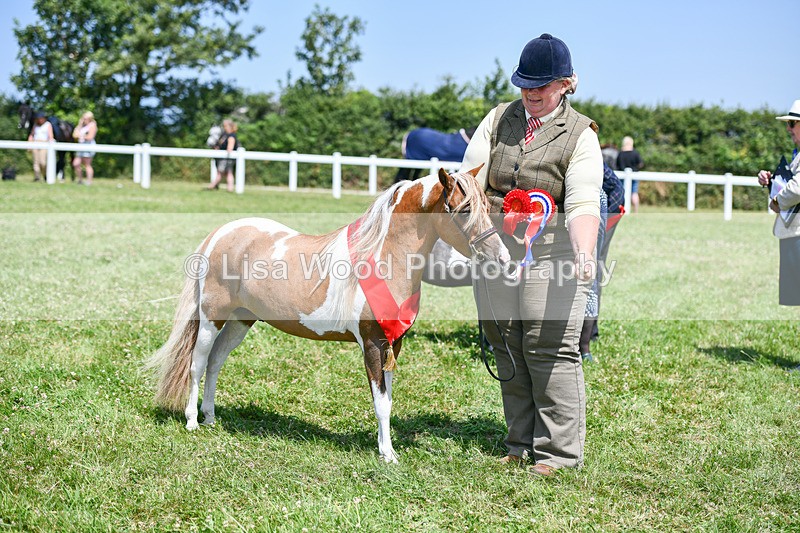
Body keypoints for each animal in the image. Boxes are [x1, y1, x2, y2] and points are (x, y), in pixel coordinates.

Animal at [146, 167, 510, 463]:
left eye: (488, 207)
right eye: (464, 210)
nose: (503, 259)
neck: (385, 258)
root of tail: (222, 232)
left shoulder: (394, 344)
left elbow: (388, 399)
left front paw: (386, 447)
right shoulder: (372, 344)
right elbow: (381, 402)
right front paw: (388, 456)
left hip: (240, 320)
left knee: (216, 362)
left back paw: (210, 417)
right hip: (212, 318)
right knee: (197, 363)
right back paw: (192, 421)